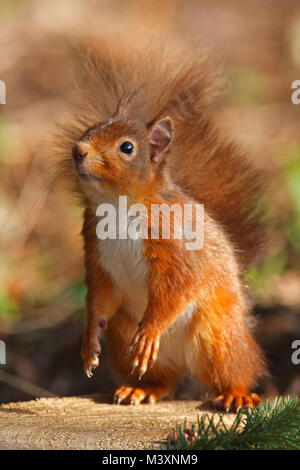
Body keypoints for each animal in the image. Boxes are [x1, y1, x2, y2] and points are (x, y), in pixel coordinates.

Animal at [55, 43, 268, 412]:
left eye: (127, 147)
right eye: (92, 128)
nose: (78, 150)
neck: (118, 206)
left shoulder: (175, 243)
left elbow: (176, 288)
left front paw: (151, 330)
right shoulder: (96, 252)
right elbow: (98, 298)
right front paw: (89, 342)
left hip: (217, 335)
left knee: (238, 368)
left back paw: (237, 393)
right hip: (124, 332)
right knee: (163, 380)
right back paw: (139, 389)